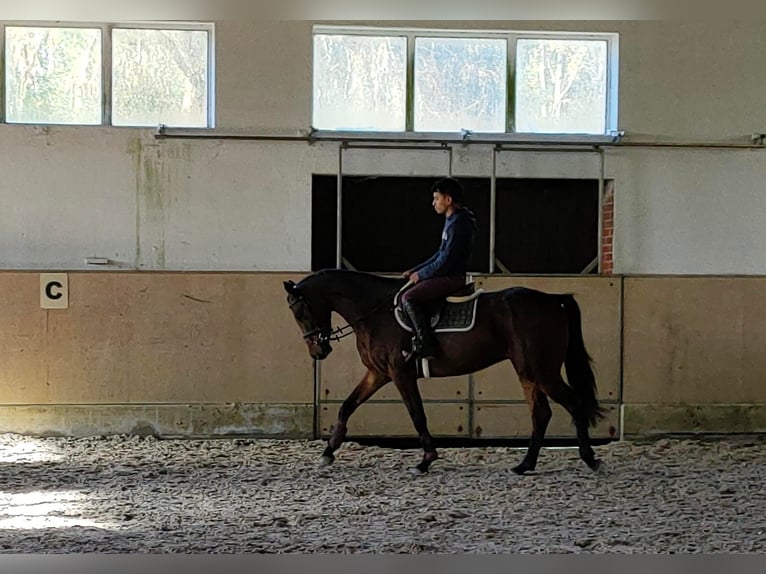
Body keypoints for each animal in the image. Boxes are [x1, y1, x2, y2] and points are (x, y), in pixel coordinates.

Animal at [282, 270, 608, 476]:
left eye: (299, 311)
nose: (318, 351)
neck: (375, 313)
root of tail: (553, 299)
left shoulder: (400, 373)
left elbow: (417, 414)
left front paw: (425, 460)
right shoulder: (378, 373)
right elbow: (347, 406)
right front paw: (328, 452)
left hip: (542, 370)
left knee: (573, 403)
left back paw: (590, 460)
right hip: (528, 372)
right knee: (541, 413)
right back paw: (524, 465)